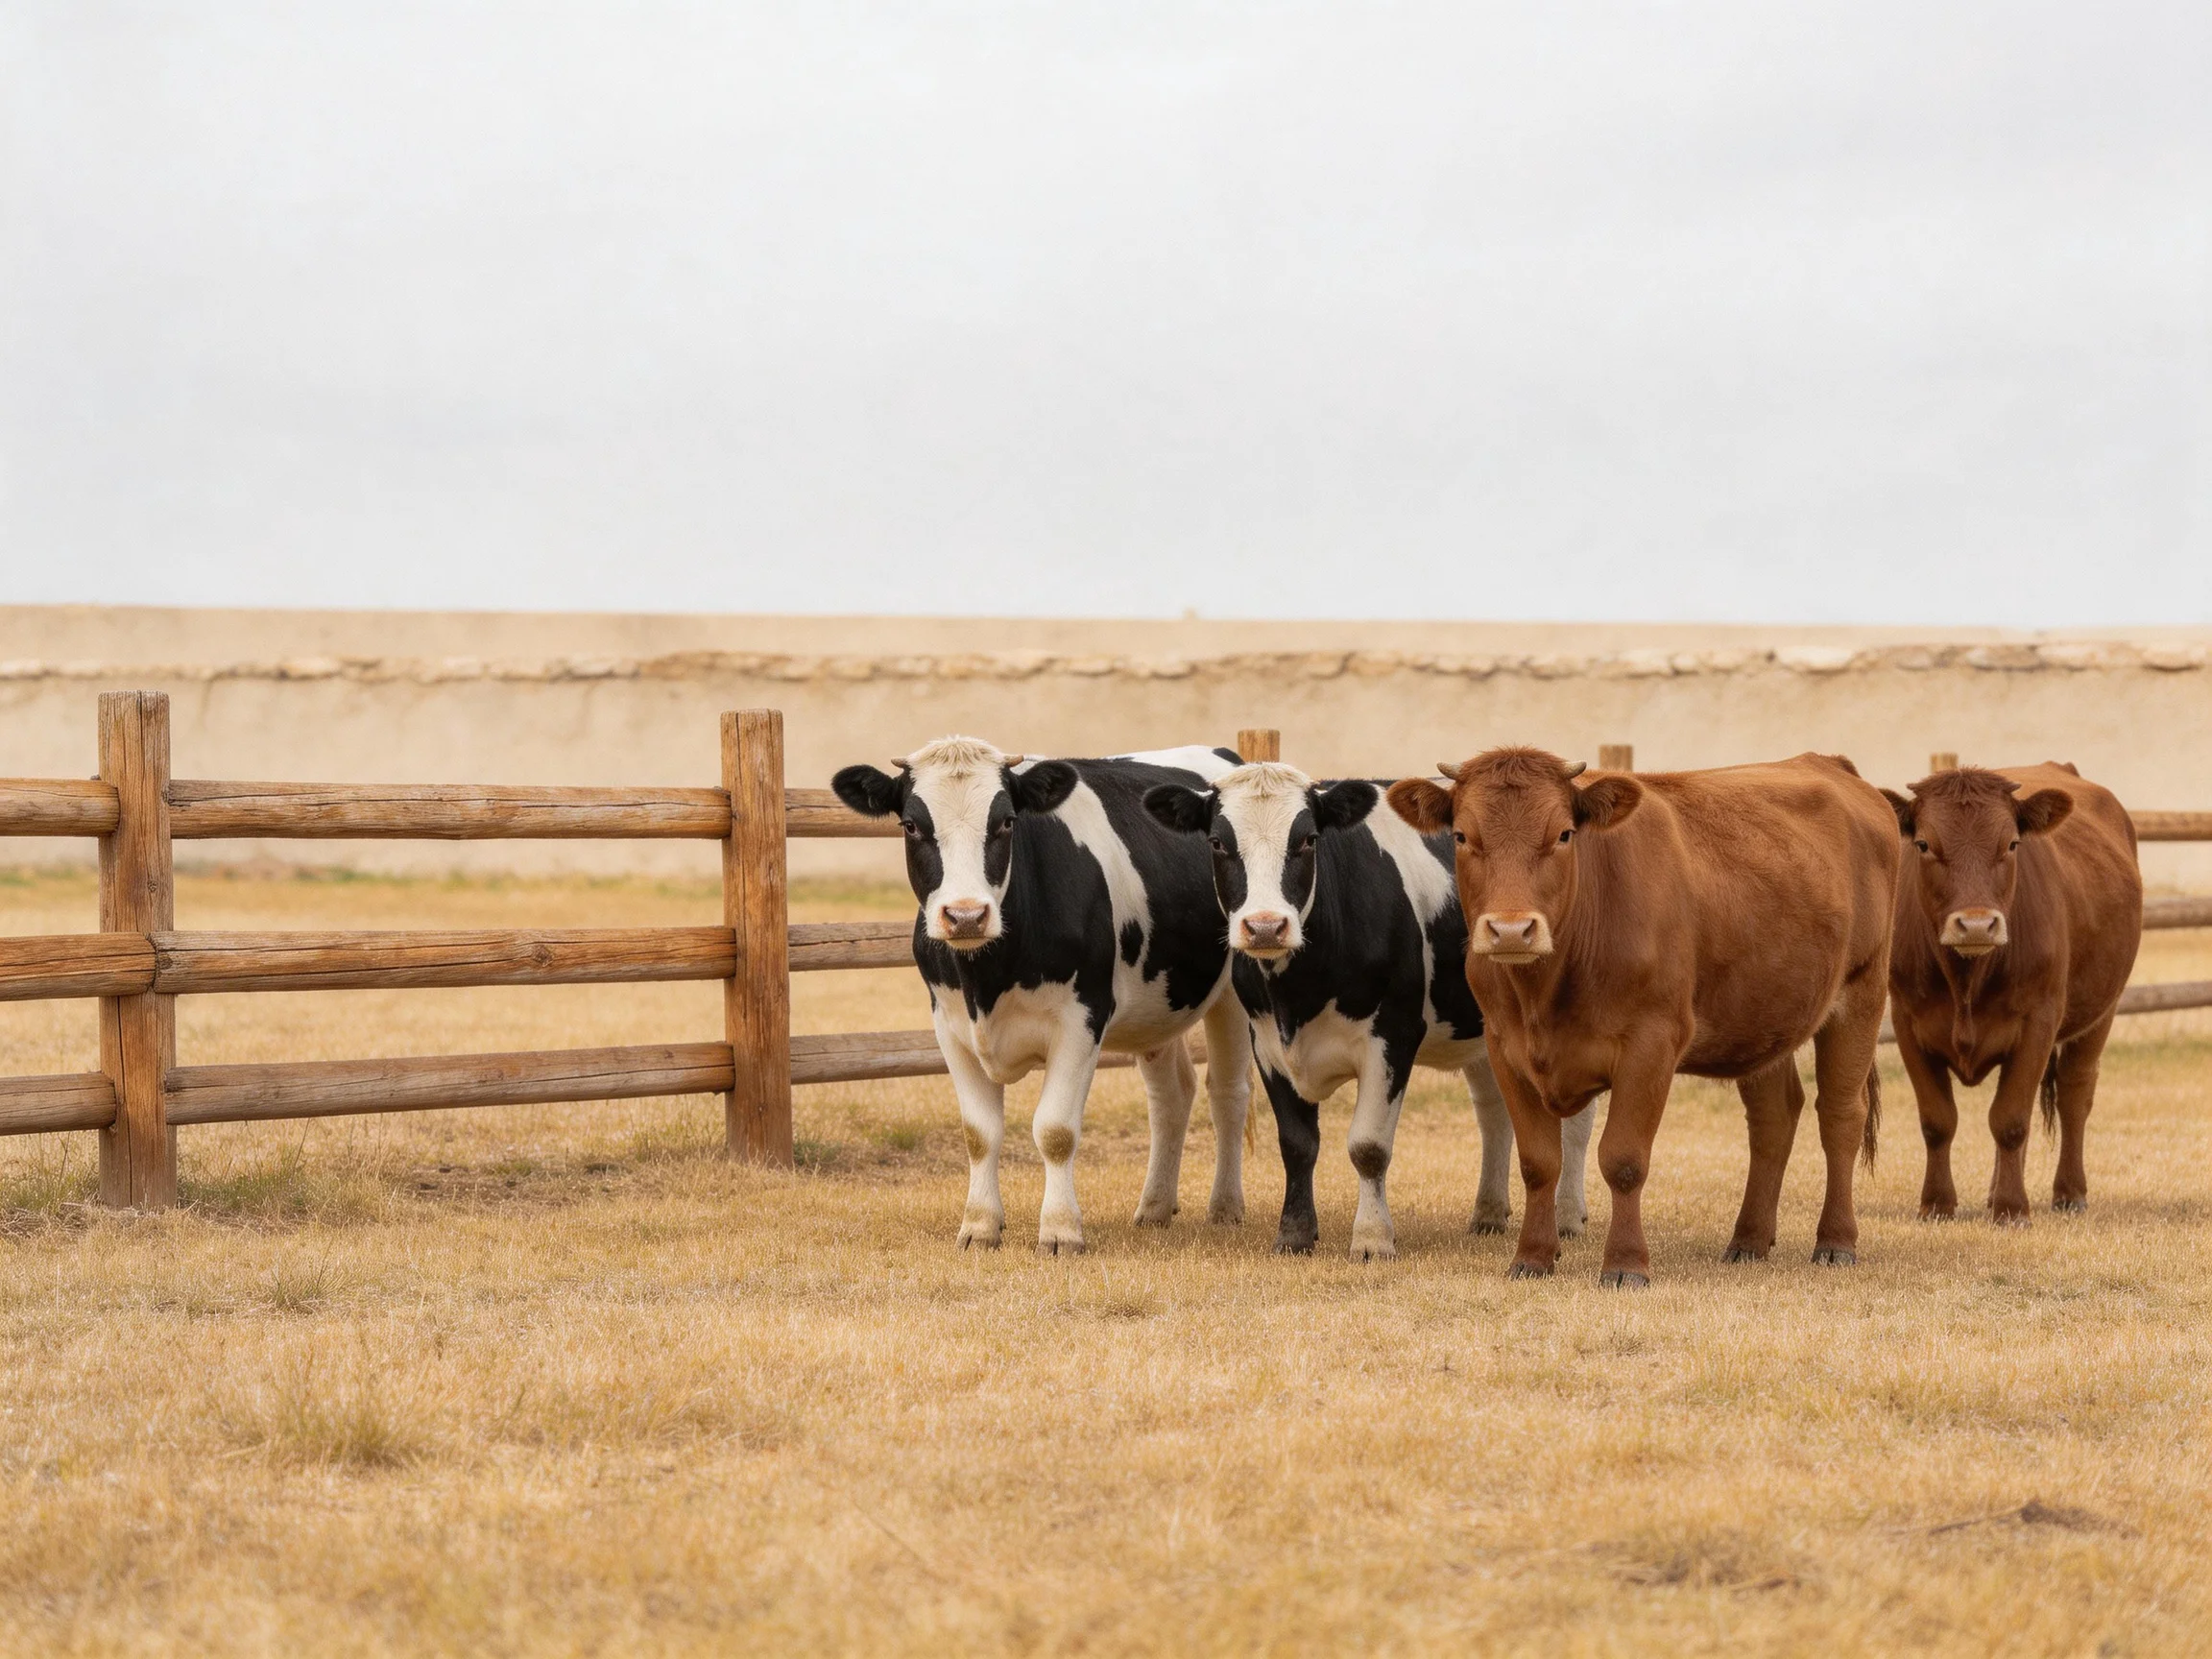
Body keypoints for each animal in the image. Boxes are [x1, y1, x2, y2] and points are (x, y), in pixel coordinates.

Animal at [831, 737, 1253, 1253]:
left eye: (1006, 822)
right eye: (911, 825)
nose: (966, 915)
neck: (986, 981)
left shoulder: (1081, 1020)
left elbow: (1055, 1130)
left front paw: (1060, 1231)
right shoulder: (949, 1025)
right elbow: (979, 1133)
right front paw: (979, 1226)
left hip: (1234, 991)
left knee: (1228, 1093)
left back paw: (1225, 1208)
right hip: (1157, 1005)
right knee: (1171, 1096)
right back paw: (1154, 1208)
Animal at [1143, 761, 1596, 1258]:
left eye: (1308, 839)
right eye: (1217, 842)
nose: (1265, 927)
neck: (1298, 995)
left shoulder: (1393, 1037)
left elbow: (1368, 1146)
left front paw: (1373, 1238)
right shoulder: (1266, 1043)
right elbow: (1296, 1144)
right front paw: (1295, 1235)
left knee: (1575, 1120)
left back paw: (1567, 1216)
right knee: (1493, 1108)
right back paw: (1489, 1213)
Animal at [1388, 747, 1898, 1286]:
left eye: (1564, 834)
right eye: (1462, 836)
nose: (1510, 930)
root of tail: (1826, 763)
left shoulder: (1650, 1046)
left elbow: (1624, 1159)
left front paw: (1626, 1264)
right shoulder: (1505, 1049)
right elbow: (1538, 1162)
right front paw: (1532, 1258)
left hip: (1861, 994)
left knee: (1840, 1115)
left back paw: (1836, 1241)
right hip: (1762, 1013)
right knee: (1774, 1117)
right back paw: (1748, 1241)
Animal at [1880, 764, 2142, 1223]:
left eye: (2012, 843)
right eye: (1924, 844)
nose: (1977, 925)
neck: (1966, 980)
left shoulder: (2038, 1021)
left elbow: (2010, 1119)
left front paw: (2012, 1208)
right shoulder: (1908, 1022)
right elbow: (1937, 1120)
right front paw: (1937, 1203)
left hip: (2101, 1013)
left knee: (2075, 1094)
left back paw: (2069, 1192)